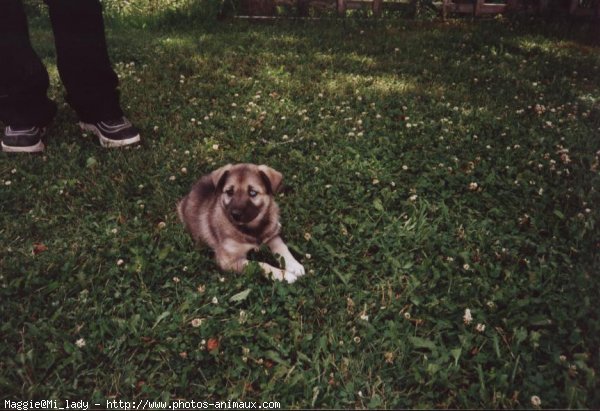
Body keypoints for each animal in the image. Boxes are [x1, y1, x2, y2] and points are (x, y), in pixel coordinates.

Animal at [175, 163, 304, 284]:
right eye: (229, 192)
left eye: (252, 192)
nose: (235, 214)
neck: (251, 229)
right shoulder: (229, 261)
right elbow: (261, 264)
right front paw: (284, 275)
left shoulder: (272, 235)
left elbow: (283, 248)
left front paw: (294, 265)